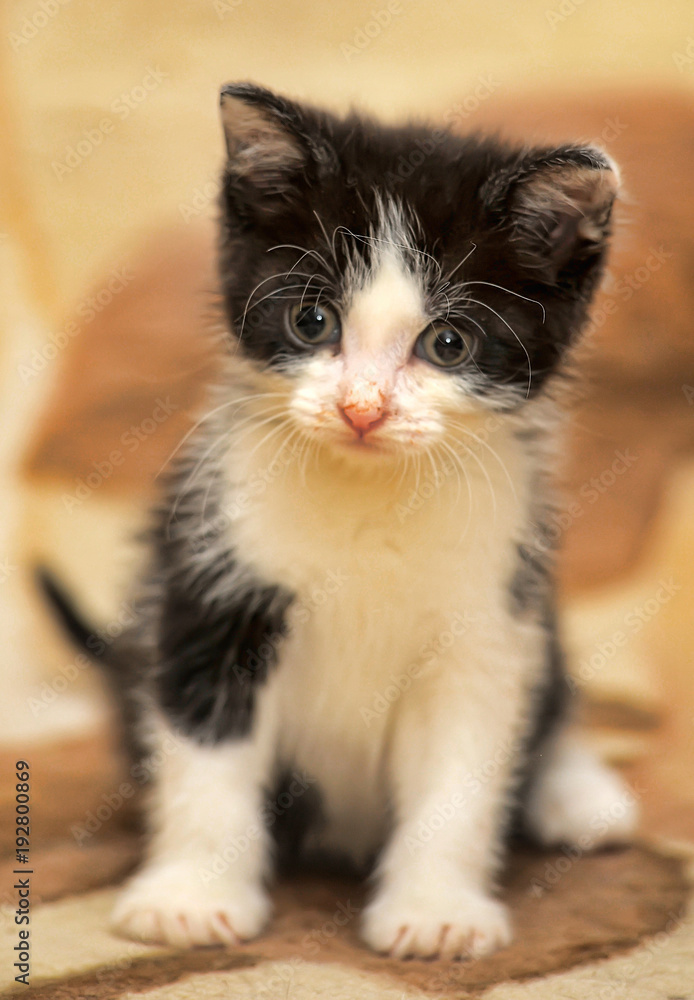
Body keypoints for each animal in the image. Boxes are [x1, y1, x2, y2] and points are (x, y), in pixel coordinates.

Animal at [47, 84, 640, 960]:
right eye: (312, 322)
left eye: (449, 342)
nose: (363, 409)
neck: (371, 495)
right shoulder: (209, 586)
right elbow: (207, 757)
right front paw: (192, 896)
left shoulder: (487, 618)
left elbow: (462, 772)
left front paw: (436, 908)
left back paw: (579, 793)